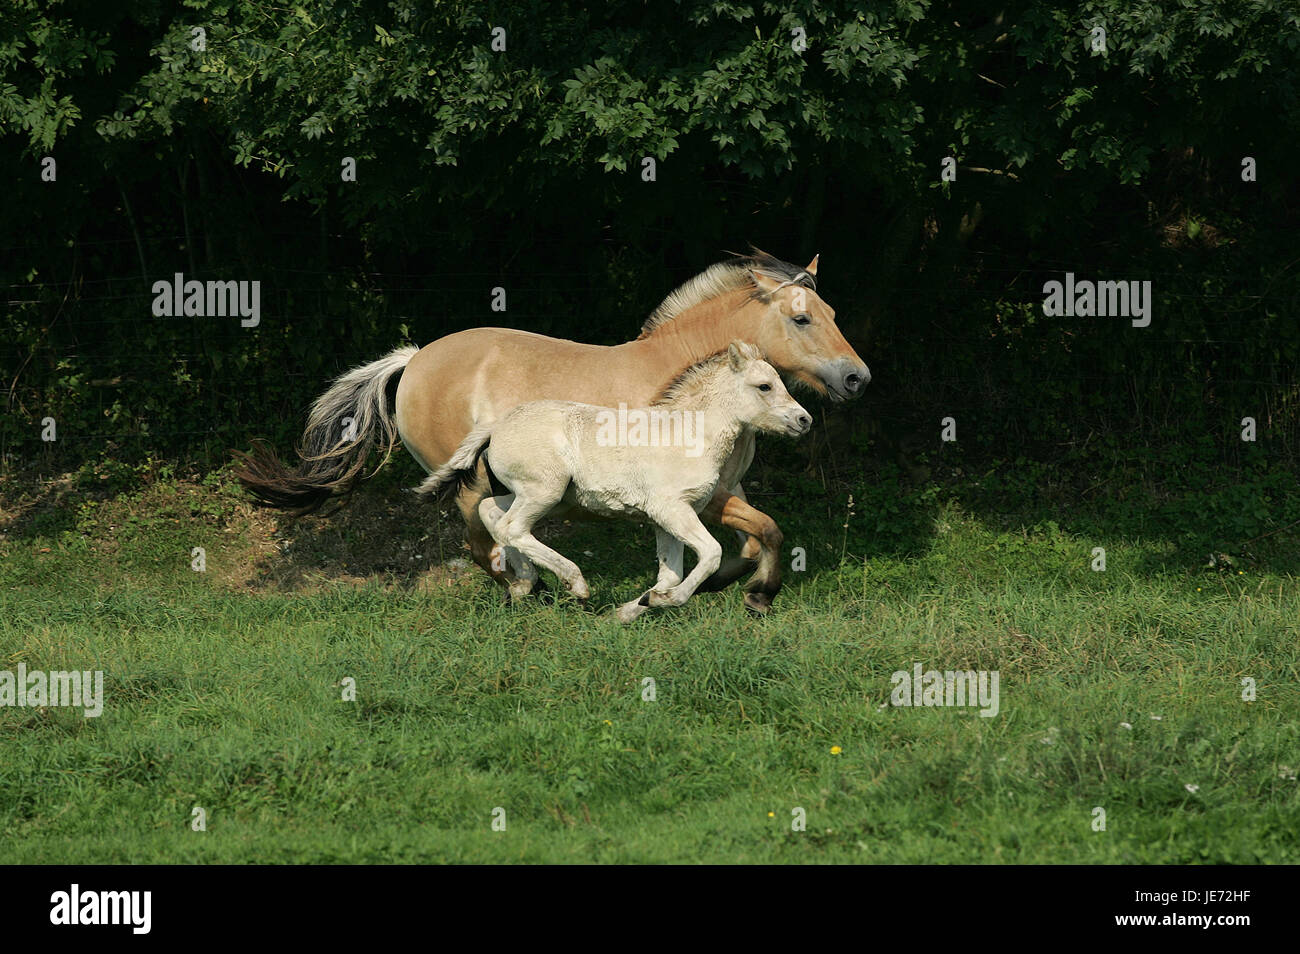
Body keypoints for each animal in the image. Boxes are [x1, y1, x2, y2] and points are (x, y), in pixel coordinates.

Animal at [421, 342, 811, 622]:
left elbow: (670, 574)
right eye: (764, 386)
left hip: (542, 496)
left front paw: (633, 609)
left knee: (492, 513)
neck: (687, 433)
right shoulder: (672, 510)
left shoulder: (666, 520)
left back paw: (523, 584)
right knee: (512, 527)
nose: (804, 420)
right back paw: (575, 584)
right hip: (542, 491)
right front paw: (667, 600)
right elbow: (712, 554)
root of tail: (496, 426)